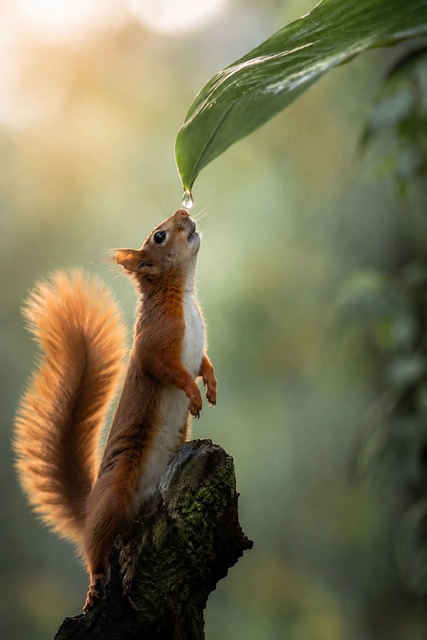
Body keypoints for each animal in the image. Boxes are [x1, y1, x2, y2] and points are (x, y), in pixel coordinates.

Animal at [13, 208, 217, 612]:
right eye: (159, 236)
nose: (184, 211)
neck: (183, 296)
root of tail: (89, 507)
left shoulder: (198, 346)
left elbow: (203, 364)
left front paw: (212, 386)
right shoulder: (154, 345)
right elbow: (171, 370)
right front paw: (193, 395)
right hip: (113, 498)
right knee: (96, 551)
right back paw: (94, 586)